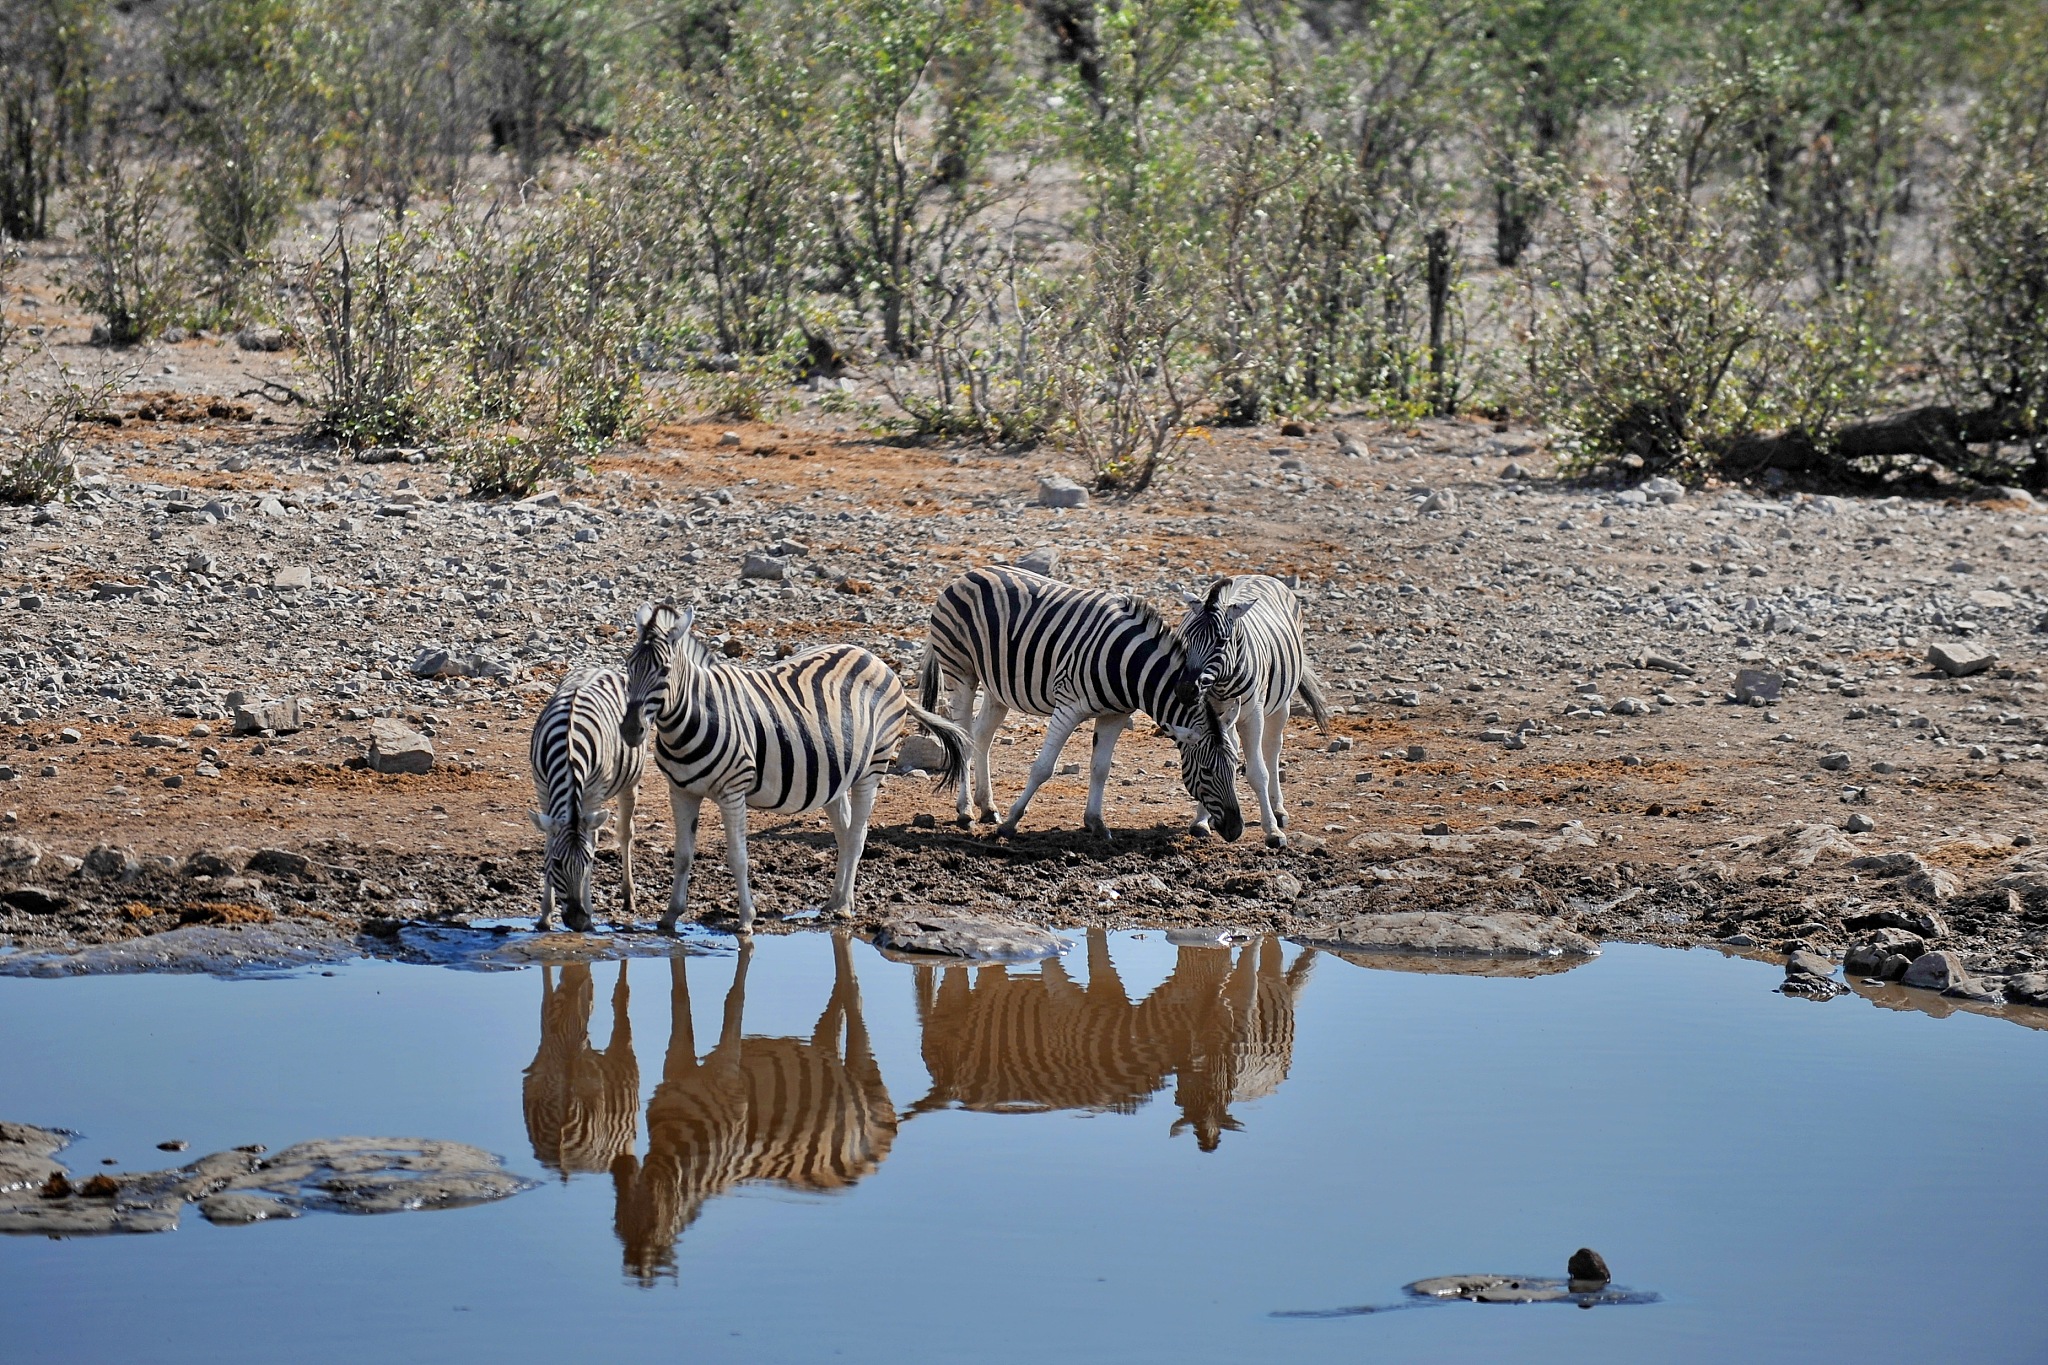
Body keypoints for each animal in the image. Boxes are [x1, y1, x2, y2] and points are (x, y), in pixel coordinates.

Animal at [529, 663, 647, 931]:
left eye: (589, 861)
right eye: (557, 863)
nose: (578, 921)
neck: (568, 748)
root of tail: (603, 666)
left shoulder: (594, 793)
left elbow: (592, 841)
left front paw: (591, 914)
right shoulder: (543, 790)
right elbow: (548, 842)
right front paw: (545, 915)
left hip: (630, 781)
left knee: (625, 833)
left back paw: (629, 896)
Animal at [623, 601, 971, 933]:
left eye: (665, 670)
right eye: (628, 665)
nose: (630, 731)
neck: (693, 717)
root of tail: (875, 658)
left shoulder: (732, 791)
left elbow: (738, 857)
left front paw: (746, 920)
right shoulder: (680, 791)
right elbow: (682, 856)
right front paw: (669, 917)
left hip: (872, 768)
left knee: (858, 834)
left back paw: (845, 906)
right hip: (835, 773)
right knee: (845, 832)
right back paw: (836, 900)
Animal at [920, 565, 1244, 842]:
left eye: (1236, 767)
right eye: (1207, 771)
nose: (1236, 829)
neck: (1128, 667)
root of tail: (966, 574)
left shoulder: (1115, 714)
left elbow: (1101, 768)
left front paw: (1096, 823)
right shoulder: (1068, 707)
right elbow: (1043, 767)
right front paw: (1012, 822)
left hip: (996, 687)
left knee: (982, 736)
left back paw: (987, 807)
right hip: (960, 671)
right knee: (963, 736)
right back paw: (965, 812)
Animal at [1174, 575, 1331, 848]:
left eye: (1221, 642)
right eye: (1187, 640)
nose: (1184, 690)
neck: (1222, 682)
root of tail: (1256, 575)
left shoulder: (1253, 714)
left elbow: (1258, 773)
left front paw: (1272, 831)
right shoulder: (1211, 711)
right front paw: (1202, 820)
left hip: (1280, 705)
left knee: (1272, 748)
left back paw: (1278, 810)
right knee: (1237, 742)